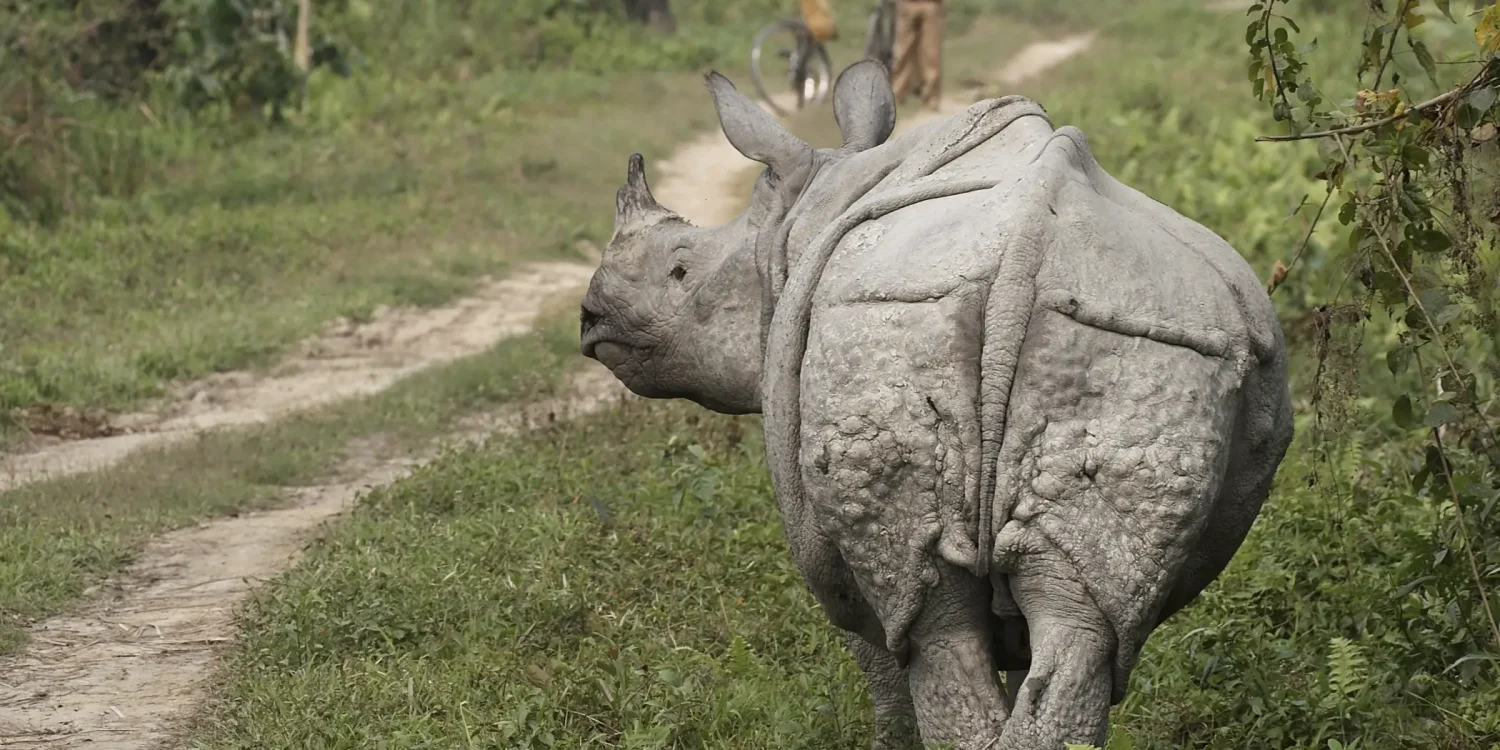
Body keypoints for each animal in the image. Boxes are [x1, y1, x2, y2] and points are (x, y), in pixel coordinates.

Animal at [578, 60, 1293, 749]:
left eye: (681, 272)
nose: (589, 318)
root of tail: (1027, 253)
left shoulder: (828, 554)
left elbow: (879, 660)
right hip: (1143, 344)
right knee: (1082, 634)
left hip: (888, 327)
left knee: (931, 627)